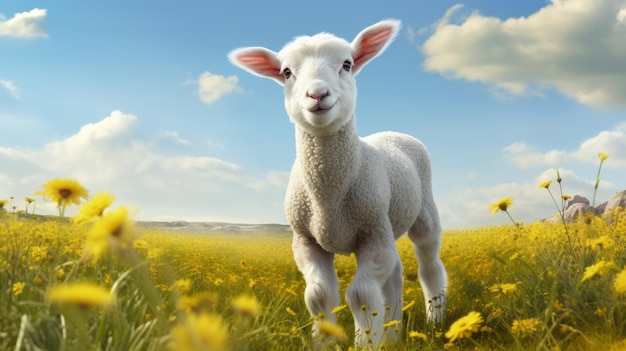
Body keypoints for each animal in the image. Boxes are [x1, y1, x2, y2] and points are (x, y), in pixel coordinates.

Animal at [227, 20, 446, 350]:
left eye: (347, 64)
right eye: (286, 72)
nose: (317, 94)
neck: (329, 198)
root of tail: (392, 131)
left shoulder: (371, 234)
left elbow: (361, 295)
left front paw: (366, 341)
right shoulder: (306, 241)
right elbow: (318, 296)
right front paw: (325, 341)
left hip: (420, 214)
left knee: (429, 264)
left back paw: (435, 319)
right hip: (386, 225)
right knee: (395, 274)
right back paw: (393, 333)